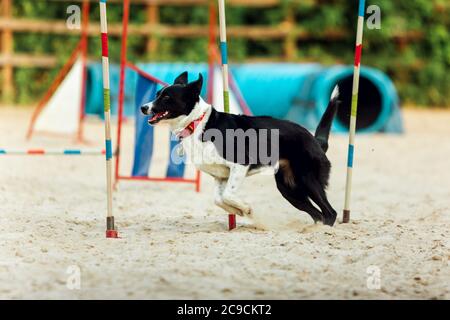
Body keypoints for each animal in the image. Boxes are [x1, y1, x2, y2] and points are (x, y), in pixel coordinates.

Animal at [142, 72, 340, 225]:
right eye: (157, 93)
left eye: (167, 97)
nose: (143, 107)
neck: (197, 123)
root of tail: (315, 140)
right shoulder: (221, 175)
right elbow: (218, 199)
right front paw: (238, 210)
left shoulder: (240, 164)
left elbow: (228, 194)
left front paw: (246, 208)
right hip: (289, 189)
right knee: (317, 214)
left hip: (308, 179)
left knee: (330, 213)